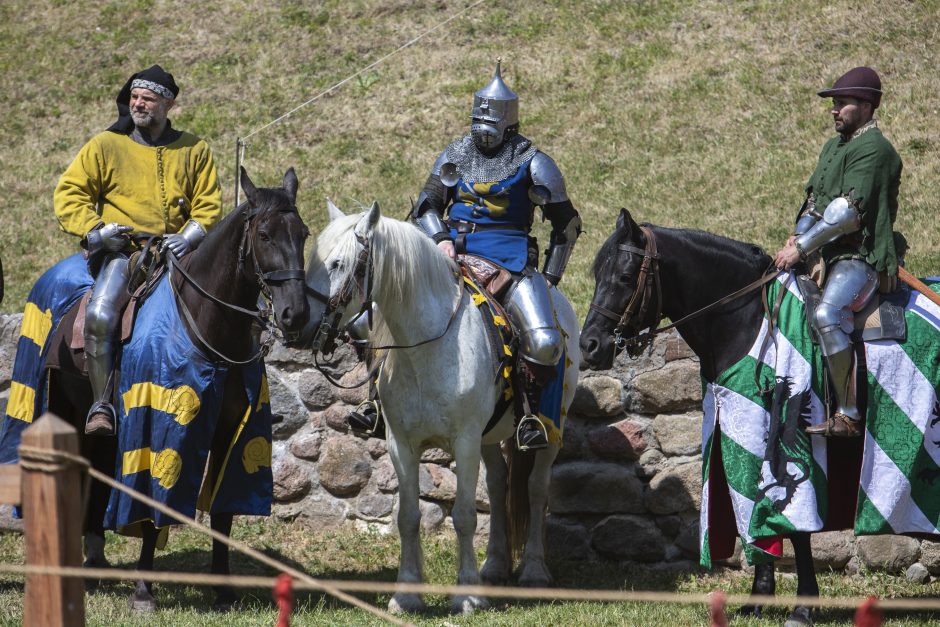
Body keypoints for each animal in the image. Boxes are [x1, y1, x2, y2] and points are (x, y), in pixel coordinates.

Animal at [304, 204, 580, 616]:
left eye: (338, 263)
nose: (297, 322)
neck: (426, 345)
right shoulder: (401, 444)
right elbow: (407, 516)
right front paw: (407, 594)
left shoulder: (464, 442)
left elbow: (464, 516)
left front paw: (466, 595)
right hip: (489, 436)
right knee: (498, 485)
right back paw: (494, 565)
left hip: (549, 425)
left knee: (535, 487)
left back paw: (533, 571)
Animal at [580, 210, 836, 624]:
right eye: (597, 273)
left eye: (624, 276)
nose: (589, 346)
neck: (747, 320)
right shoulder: (733, 435)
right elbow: (747, 511)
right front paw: (758, 597)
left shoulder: (783, 441)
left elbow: (793, 525)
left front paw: (802, 606)